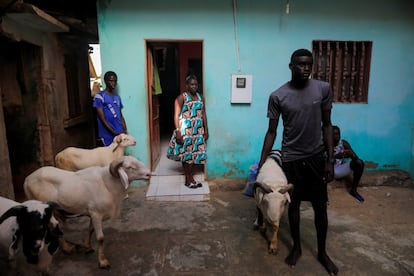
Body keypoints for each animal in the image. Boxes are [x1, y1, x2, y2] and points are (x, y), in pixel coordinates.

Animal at [23, 156, 152, 268]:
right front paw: (103, 262)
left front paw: (88, 247)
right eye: (130, 167)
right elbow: (100, 238)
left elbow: (90, 230)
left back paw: (65, 248)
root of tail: (27, 180)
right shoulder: (96, 214)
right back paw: (64, 249)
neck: (107, 184)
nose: (149, 174)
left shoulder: (92, 214)